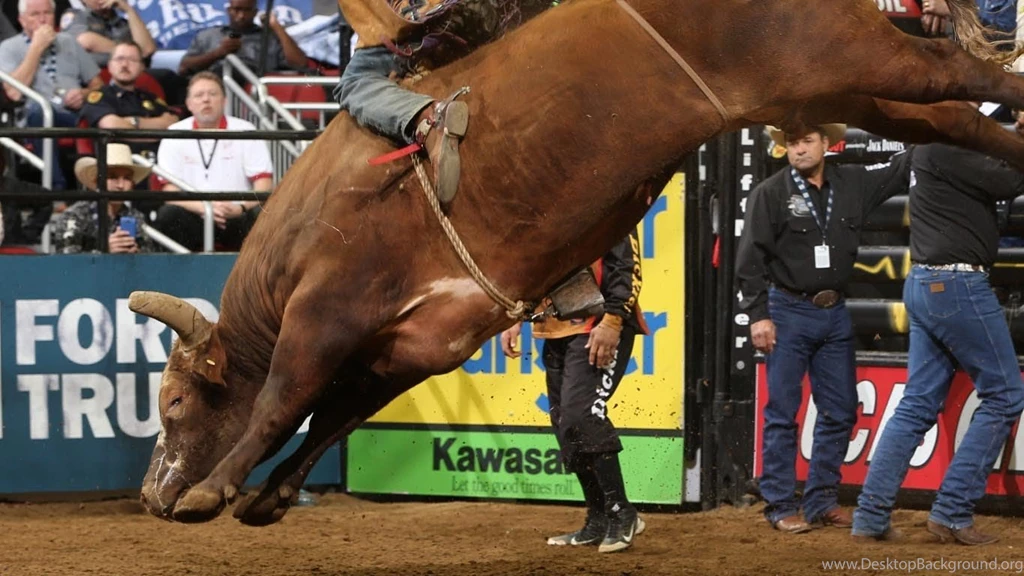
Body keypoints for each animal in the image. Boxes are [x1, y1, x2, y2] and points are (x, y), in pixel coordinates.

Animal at [133, 0, 1024, 526]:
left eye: (174, 401)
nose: (149, 493)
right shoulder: (413, 344)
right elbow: (335, 416)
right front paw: (269, 495)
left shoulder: (328, 311)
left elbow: (282, 399)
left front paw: (214, 489)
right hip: (839, 89)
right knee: (949, 115)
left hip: (842, 50)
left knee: (963, 74)